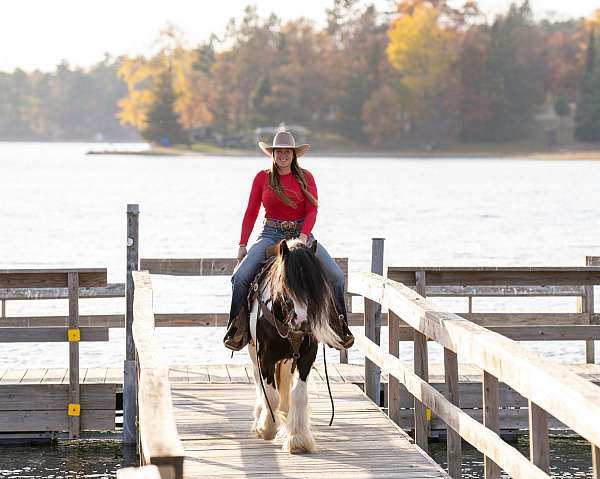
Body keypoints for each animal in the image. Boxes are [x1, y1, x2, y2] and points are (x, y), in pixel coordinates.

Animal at [248, 240, 342, 454]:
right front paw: (267, 428)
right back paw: (260, 418)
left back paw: (284, 413)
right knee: (259, 381)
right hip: (252, 351)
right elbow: (270, 394)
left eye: (314, 286)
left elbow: (298, 394)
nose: (302, 321)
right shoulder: (264, 357)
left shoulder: (307, 356)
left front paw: (298, 438)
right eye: (285, 283)